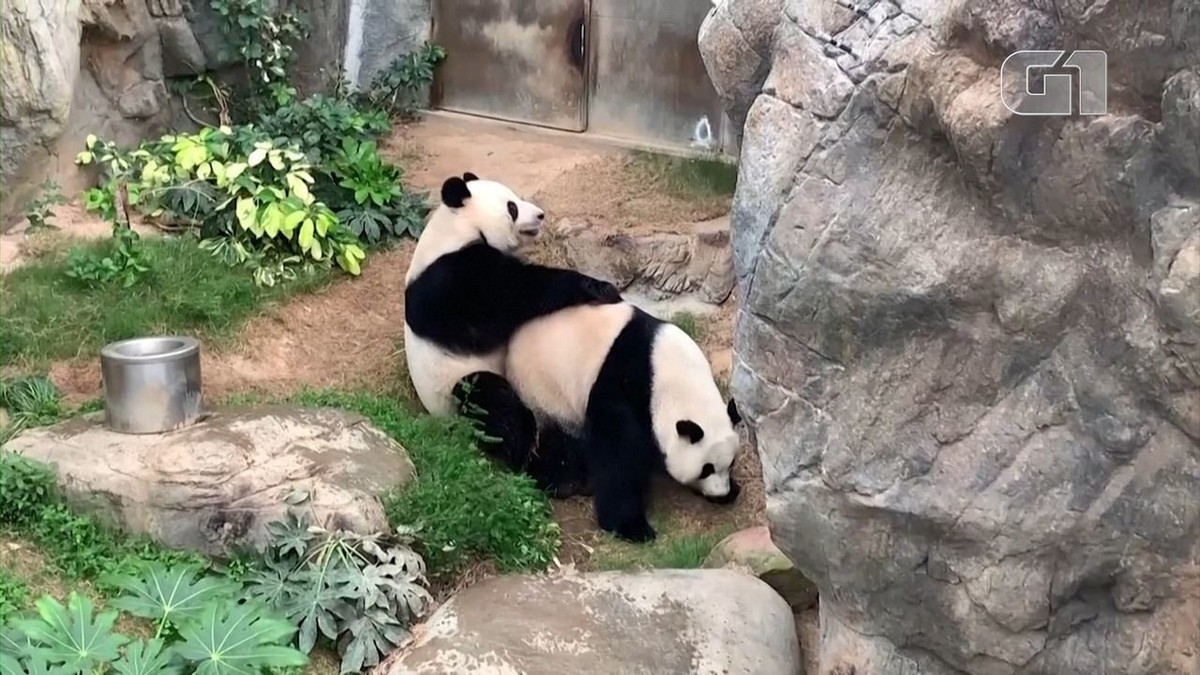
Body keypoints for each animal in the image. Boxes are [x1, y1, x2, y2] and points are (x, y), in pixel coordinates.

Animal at [405, 170, 624, 480]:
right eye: (512, 207)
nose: (541, 215)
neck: (457, 227)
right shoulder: (450, 277)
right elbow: (507, 300)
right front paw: (598, 287)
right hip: (454, 389)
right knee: (495, 407)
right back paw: (542, 461)